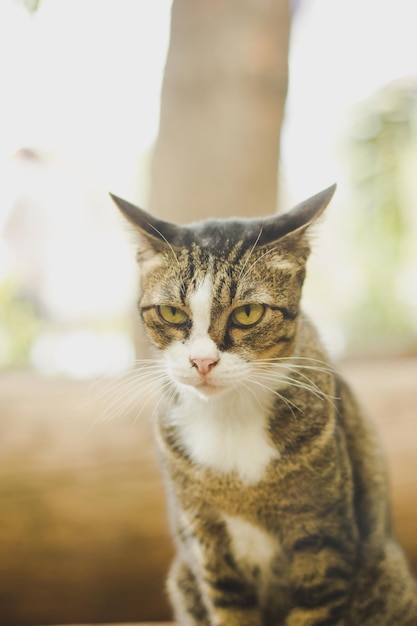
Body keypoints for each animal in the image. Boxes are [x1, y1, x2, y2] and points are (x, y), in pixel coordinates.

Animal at [111, 185, 416, 624]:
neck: (230, 420)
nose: (202, 362)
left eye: (248, 313)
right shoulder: (207, 544)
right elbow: (228, 607)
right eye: (171, 312)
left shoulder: (323, 538)